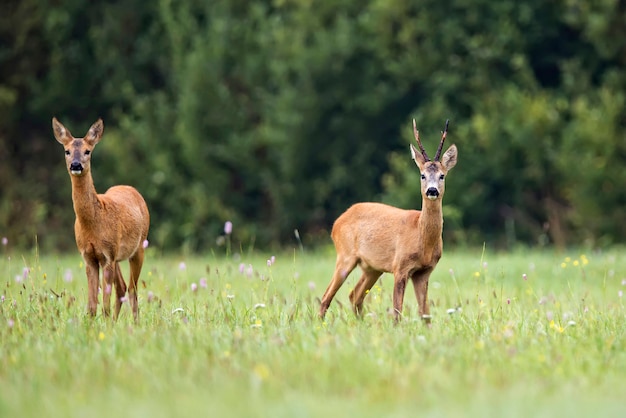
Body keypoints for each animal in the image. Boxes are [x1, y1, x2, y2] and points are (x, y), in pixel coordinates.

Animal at [51, 117, 149, 320]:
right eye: (67, 151)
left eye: (88, 151)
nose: (76, 165)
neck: (93, 222)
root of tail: (131, 189)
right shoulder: (89, 256)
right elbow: (91, 306)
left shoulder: (107, 256)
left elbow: (104, 305)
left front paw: (105, 324)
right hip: (118, 256)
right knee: (122, 288)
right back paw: (117, 322)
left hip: (139, 247)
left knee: (133, 289)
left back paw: (135, 323)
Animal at [320, 119, 456, 324]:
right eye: (422, 175)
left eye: (442, 175)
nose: (432, 190)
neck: (421, 236)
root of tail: (337, 222)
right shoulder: (400, 266)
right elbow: (397, 311)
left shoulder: (424, 271)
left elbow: (425, 313)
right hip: (345, 256)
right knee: (326, 296)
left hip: (372, 267)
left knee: (354, 295)